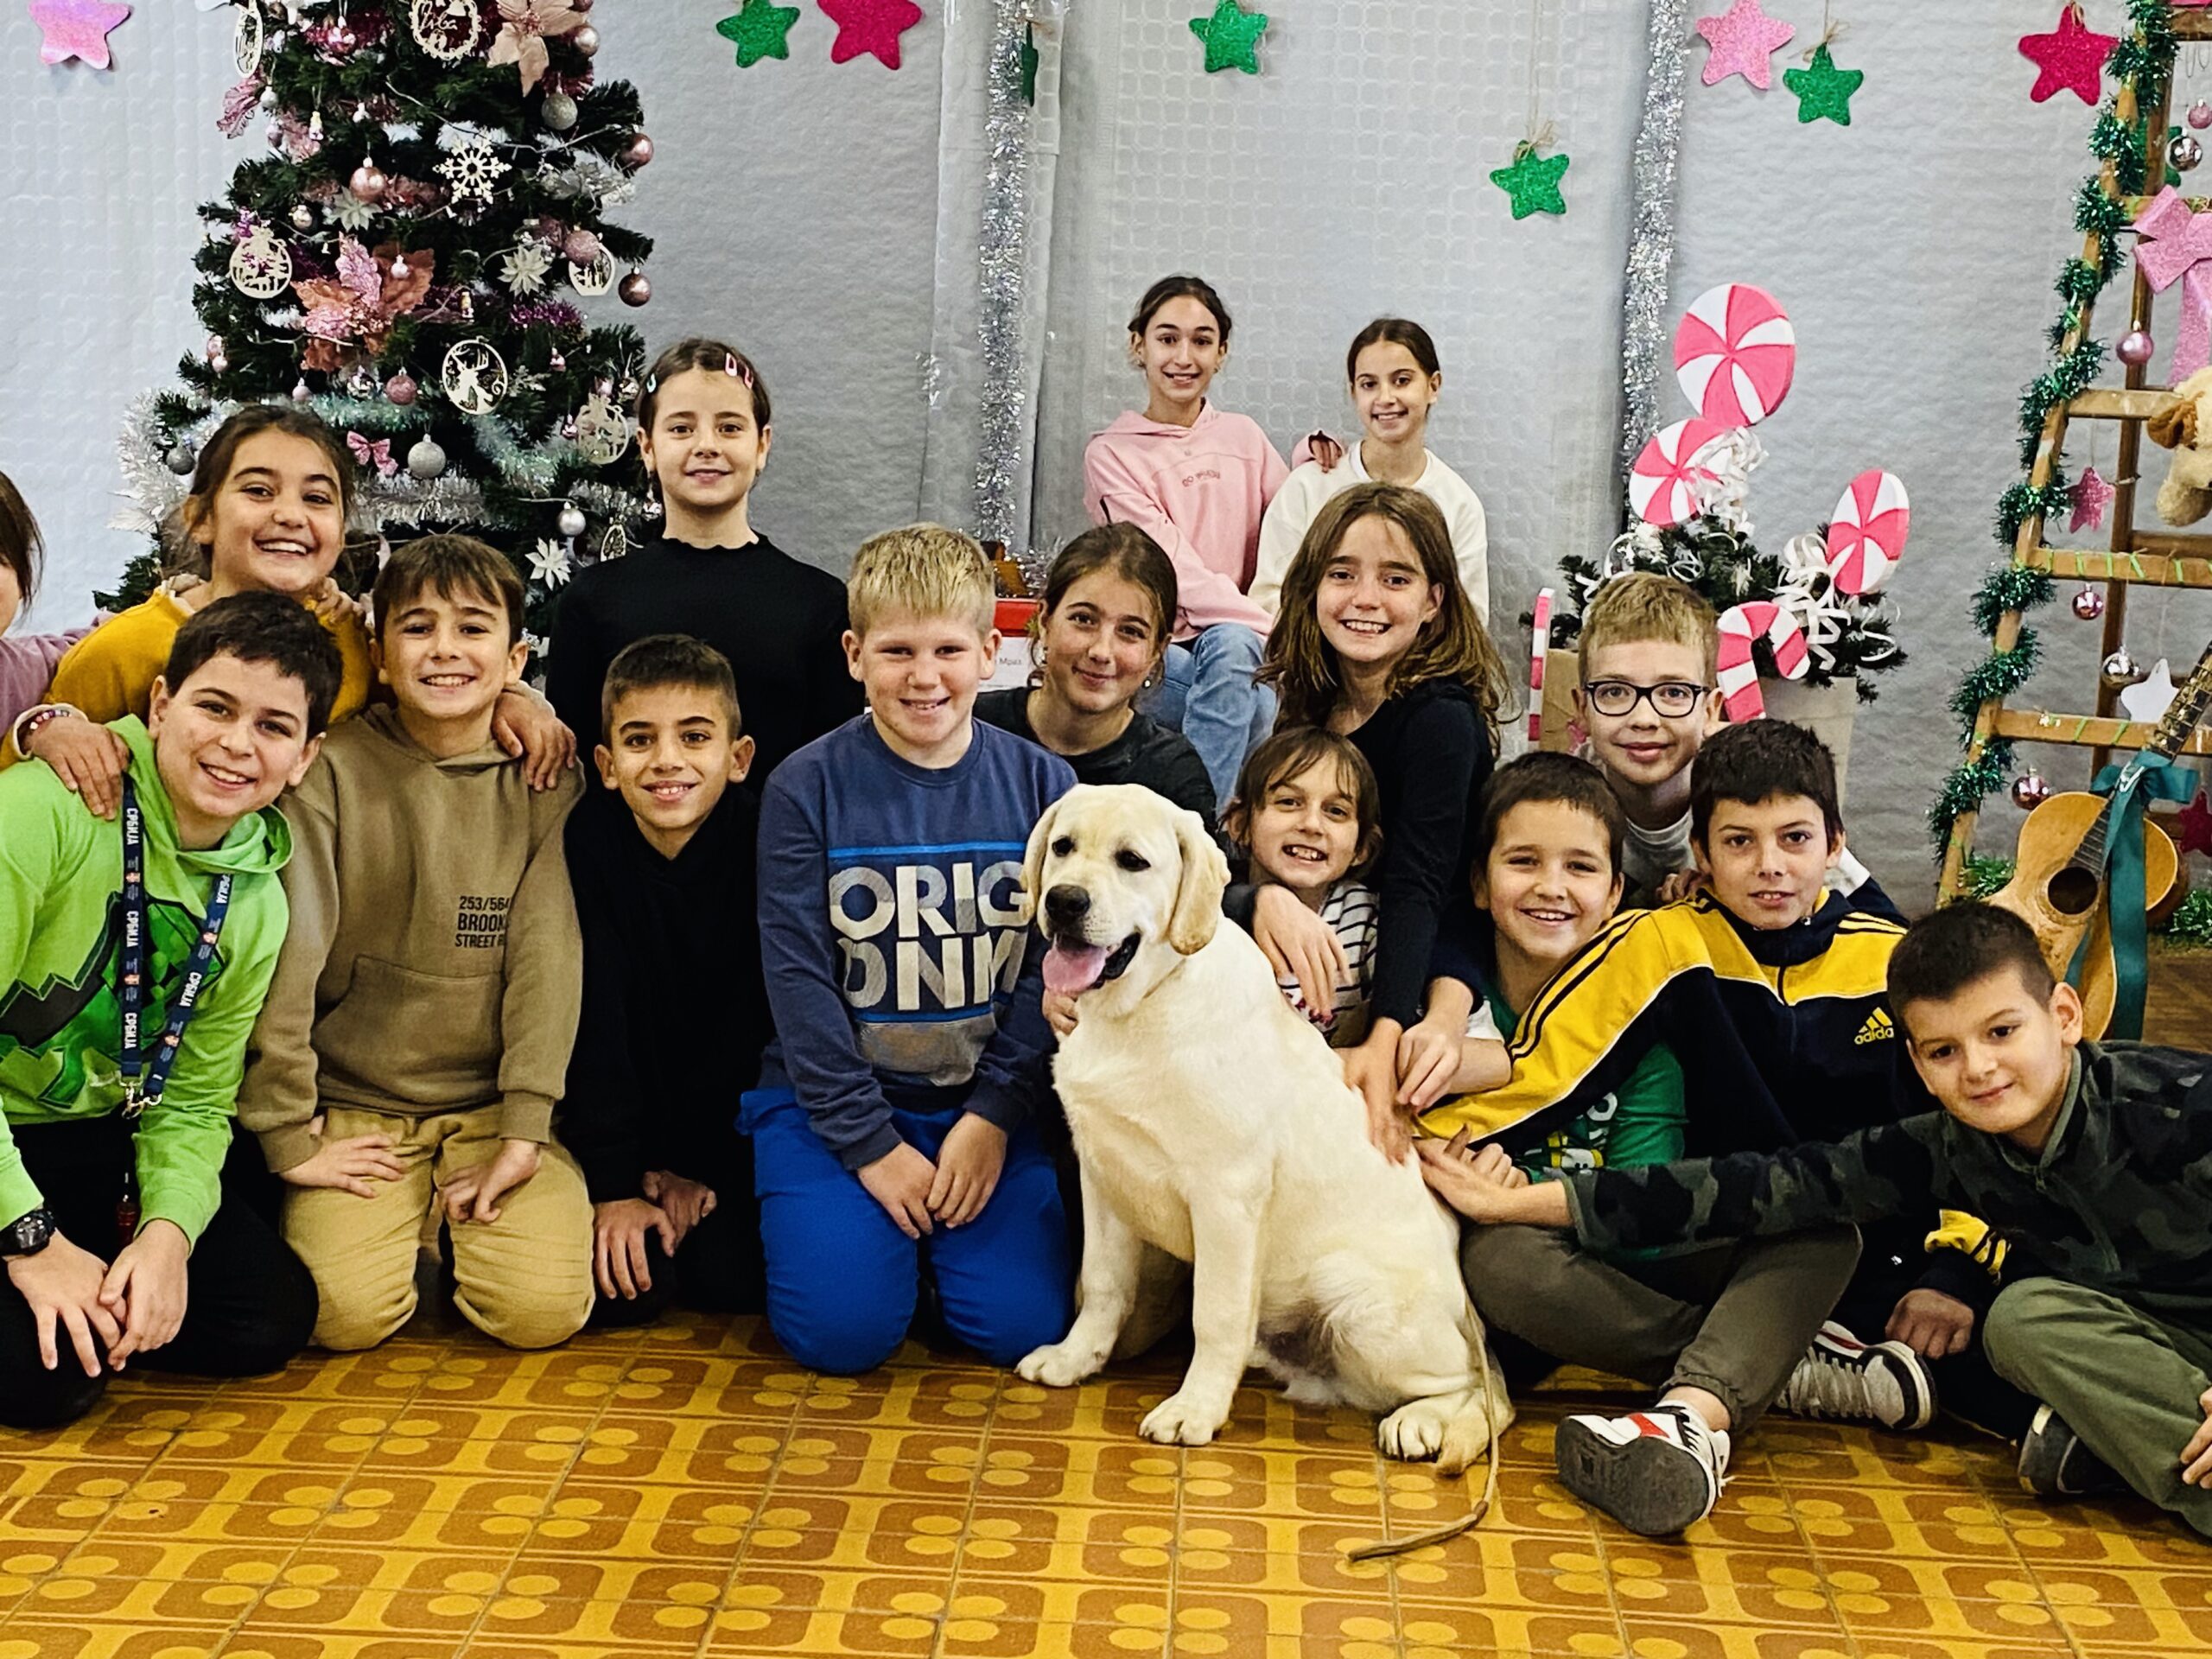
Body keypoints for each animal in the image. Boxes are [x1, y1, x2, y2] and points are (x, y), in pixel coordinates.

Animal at [1013, 787, 1503, 1478]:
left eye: (1133, 861)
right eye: (1062, 847)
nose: (1063, 902)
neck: (1143, 1006)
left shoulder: (1226, 1197)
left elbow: (1214, 1314)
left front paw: (1194, 1410)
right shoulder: (1102, 1175)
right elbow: (1103, 1285)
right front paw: (1073, 1357)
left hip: (1357, 1299)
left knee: (1481, 1395)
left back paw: (1422, 1423)